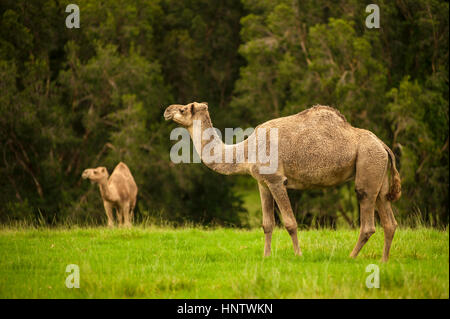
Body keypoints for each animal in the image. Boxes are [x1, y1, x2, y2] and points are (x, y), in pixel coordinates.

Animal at [163, 102, 402, 262]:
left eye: (183, 109)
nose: (167, 110)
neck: (246, 151)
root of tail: (384, 146)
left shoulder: (276, 180)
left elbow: (290, 222)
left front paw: (298, 254)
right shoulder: (262, 183)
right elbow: (267, 224)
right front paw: (266, 256)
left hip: (368, 167)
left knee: (368, 220)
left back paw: (351, 257)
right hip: (378, 172)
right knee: (389, 219)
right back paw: (384, 260)